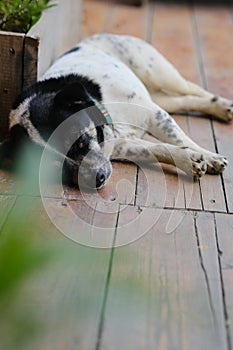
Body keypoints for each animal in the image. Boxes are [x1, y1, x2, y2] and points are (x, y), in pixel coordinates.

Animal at [0, 33, 232, 189]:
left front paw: (209, 157)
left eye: (80, 142)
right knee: (184, 100)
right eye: (55, 169)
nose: (97, 178)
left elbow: (180, 139)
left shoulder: (153, 115)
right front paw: (189, 159)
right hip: (160, 95)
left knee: (192, 88)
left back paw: (222, 106)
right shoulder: (123, 146)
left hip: (158, 72)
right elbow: (158, 149)